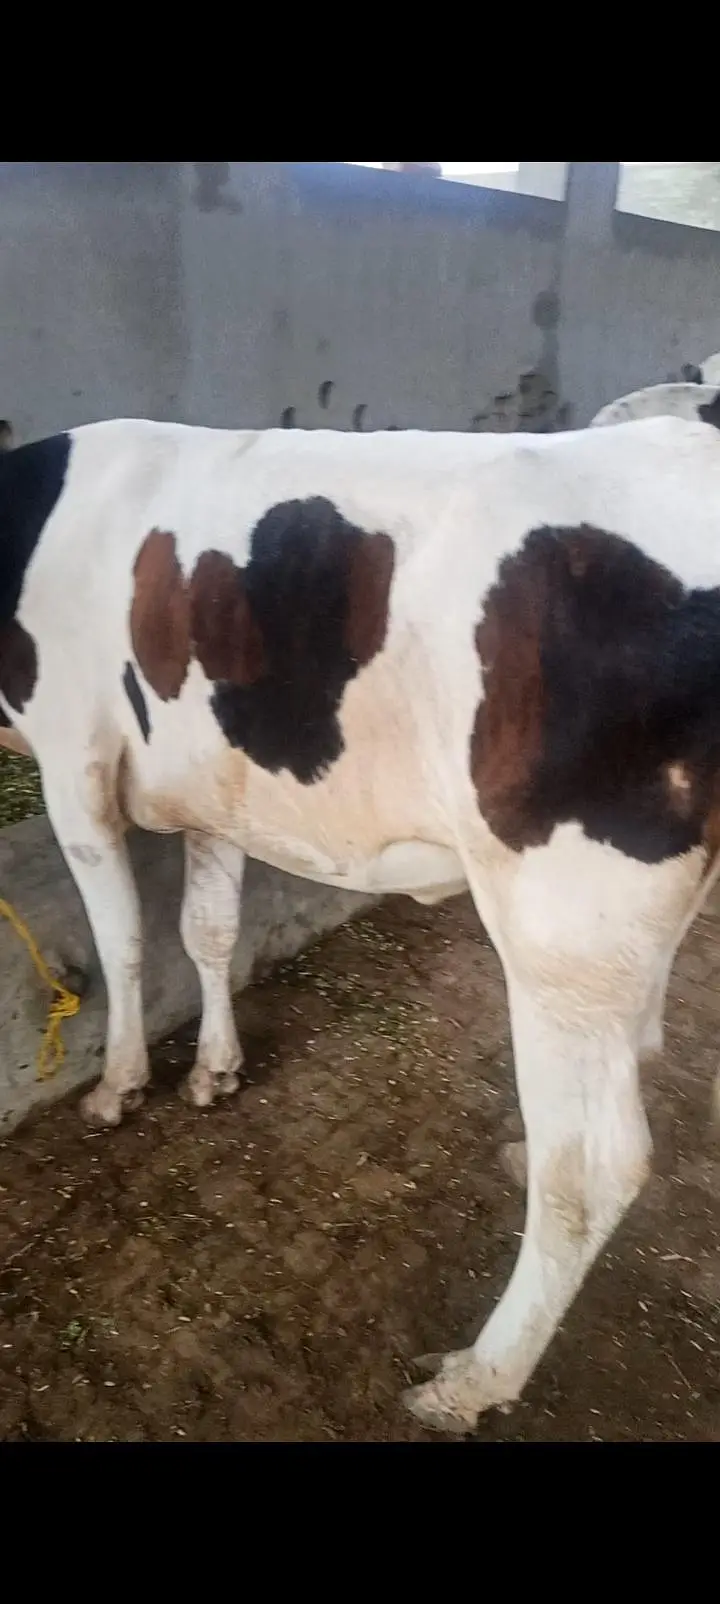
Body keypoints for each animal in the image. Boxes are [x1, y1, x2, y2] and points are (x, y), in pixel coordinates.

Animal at [2, 411, 720, 1434]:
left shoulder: (75, 762)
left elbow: (125, 941)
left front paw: (120, 1086)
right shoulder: (213, 787)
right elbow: (207, 930)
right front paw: (215, 1069)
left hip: (562, 920)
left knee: (593, 1168)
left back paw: (473, 1378)